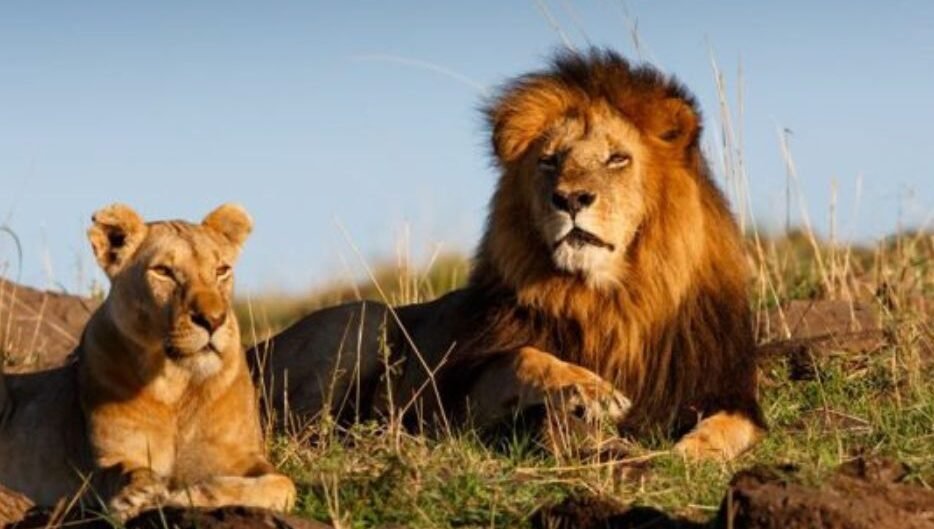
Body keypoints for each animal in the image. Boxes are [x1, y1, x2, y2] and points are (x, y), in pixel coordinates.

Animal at [0, 203, 295, 517]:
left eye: (221, 270)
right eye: (163, 272)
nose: (214, 320)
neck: (179, 384)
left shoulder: (243, 456)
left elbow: (283, 484)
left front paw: (189, 495)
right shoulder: (107, 460)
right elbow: (127, 472)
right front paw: (140, 496)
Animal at [253, 49, 765, 460]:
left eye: (617, 158)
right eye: (550, 160)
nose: (570, 198)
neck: (611, 300)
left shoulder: (724, 388)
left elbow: (734, 426)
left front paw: (692, 451)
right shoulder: (462, 398)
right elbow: (525, 355)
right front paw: (592, 390)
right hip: (365, 318)